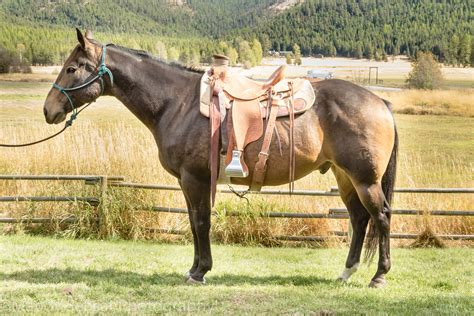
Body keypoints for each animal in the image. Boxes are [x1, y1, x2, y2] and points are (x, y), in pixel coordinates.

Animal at [44, 30, 398, 288]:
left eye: (72, 68)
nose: (49, 110)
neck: (176, 103)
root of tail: (379, 101)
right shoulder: (187, 182)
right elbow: (193, 222)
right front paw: (194, 269)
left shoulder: (195, 178)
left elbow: (201, 222)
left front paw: (200, 271)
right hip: (345, 177)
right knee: (359, 219)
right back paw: (347, 272)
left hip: (365, 180)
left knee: (380, 217)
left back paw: (378, 276)